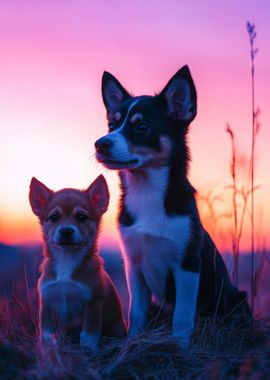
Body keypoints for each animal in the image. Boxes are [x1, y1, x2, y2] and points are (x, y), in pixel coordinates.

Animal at [29, 175, 126, 348]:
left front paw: (88, 350)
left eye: (82, 217)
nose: (66, 231)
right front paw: (48, 348)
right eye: (54, 217)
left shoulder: (93, 304)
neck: (67, 261)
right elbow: (46, 333)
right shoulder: (46, 303)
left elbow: (88, 334)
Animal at [94, 64, 251, 344]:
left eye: (142, 126)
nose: (100, 144)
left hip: (237, 300)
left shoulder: (187, 266)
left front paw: (179, 346)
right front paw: (133, 341)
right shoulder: (133, 266)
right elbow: (136, 313)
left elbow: (182, 317)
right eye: (112, 124)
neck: (146, 191)